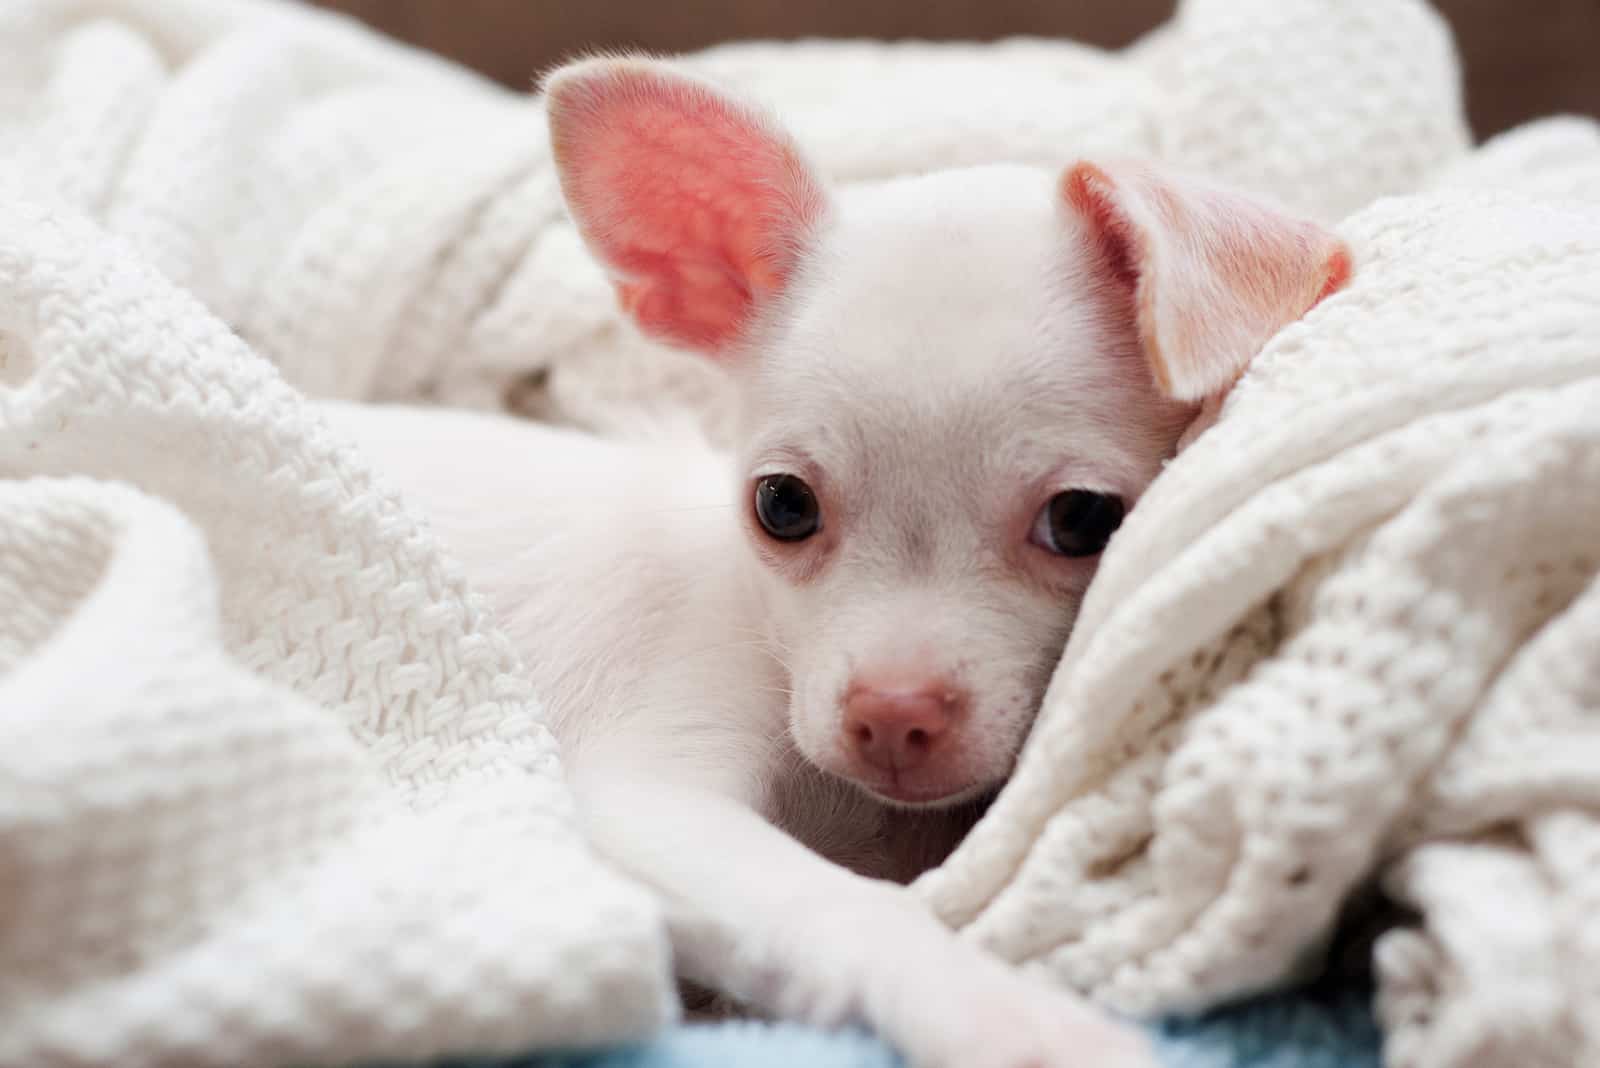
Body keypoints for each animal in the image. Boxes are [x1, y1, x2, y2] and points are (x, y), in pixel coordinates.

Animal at [324, 58, 1350, 1068]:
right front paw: (1002, 1011)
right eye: (782, 506)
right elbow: (840, 904)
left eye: (1082, 521)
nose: (892, 715)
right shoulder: (649, 797)